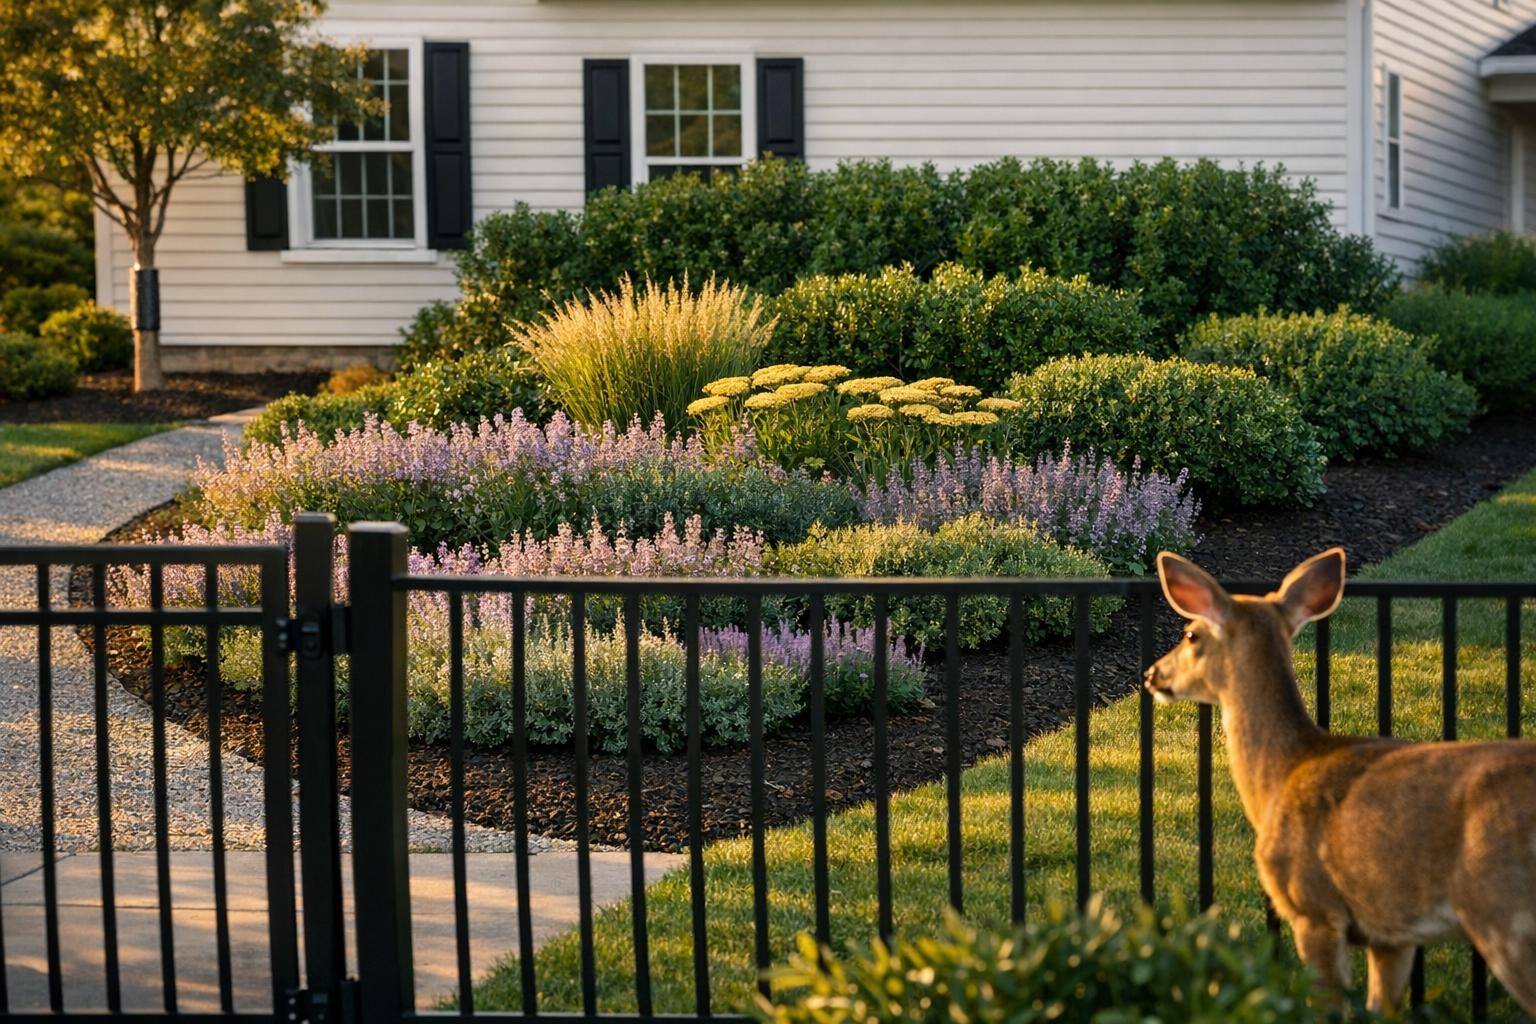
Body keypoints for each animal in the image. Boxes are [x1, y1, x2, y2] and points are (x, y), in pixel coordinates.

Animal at [1144, 547, 1536, 1017]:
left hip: (1504, 909)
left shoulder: (1313, 907)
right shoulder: (1391, 931)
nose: (1152, 674)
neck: (1282, 774)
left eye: (1191, 635)